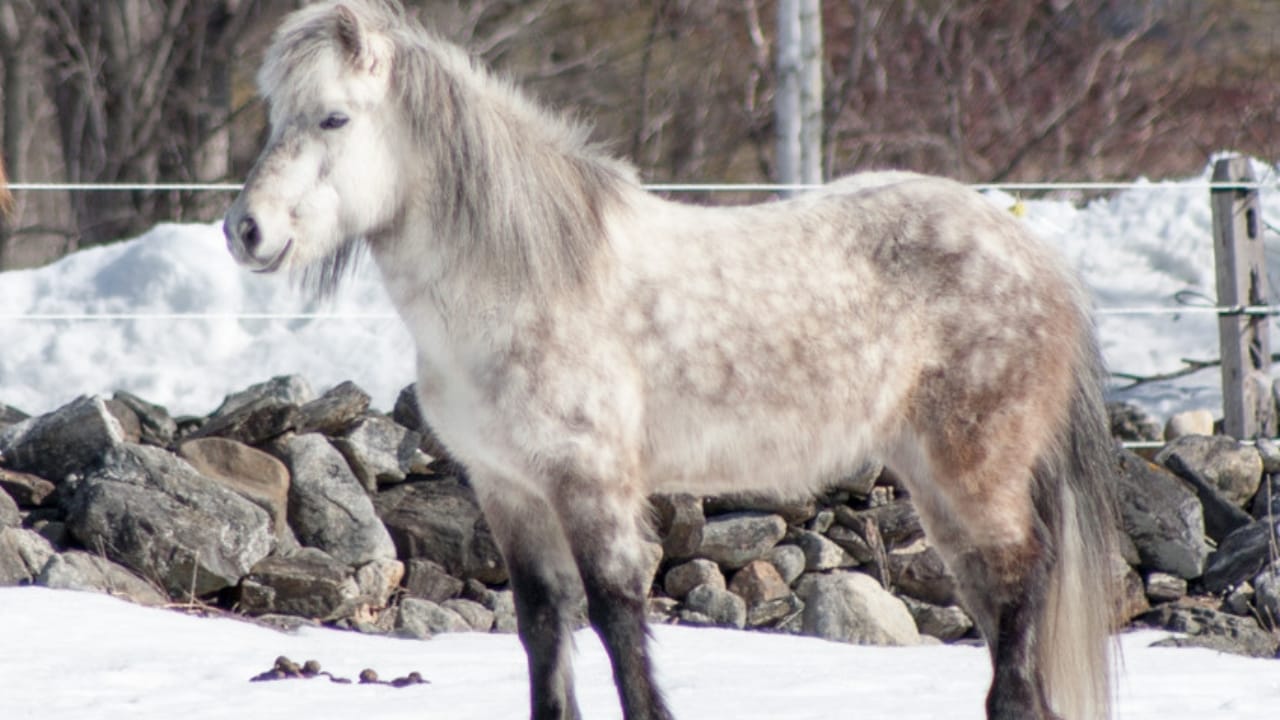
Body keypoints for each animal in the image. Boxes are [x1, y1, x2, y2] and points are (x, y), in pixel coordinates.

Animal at [223, 2, 1119, 718]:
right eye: (276, 117)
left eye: (334, 119)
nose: (245, 231)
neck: (528, 280)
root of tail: (1037, 259)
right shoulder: (509, 488)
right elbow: (544, 627)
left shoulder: (591, 482)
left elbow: (618, 621)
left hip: (975, 473)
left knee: (1016, 600)